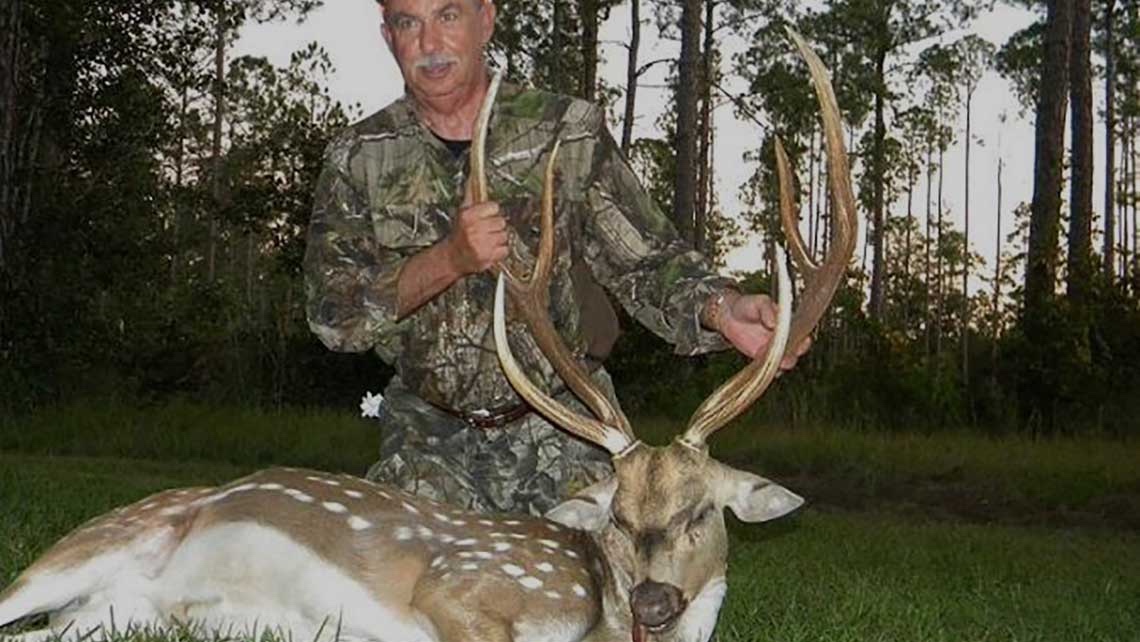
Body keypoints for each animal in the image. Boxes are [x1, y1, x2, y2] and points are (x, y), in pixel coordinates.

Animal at [0, 29, 857, 642]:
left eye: (701, 512)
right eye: (616, 516)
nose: (650, 603)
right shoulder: (465, 586)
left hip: (105, 616)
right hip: (87, 548)